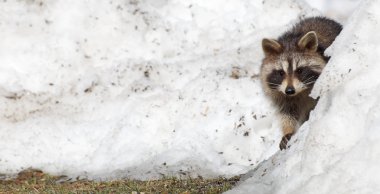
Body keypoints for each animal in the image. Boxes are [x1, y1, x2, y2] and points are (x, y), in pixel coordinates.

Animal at [260, 16, 342, 150]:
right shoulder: (281, 96)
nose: (289, 90)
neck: (300, 92)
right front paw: (288, 130)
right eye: (281, 73)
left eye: (299, 70)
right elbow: (287, 113)